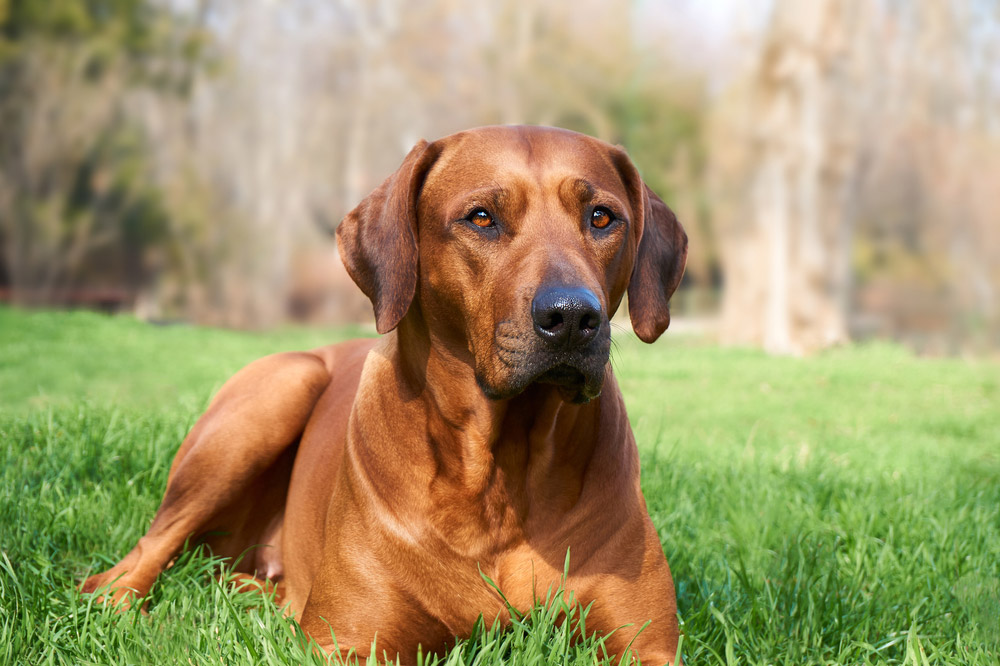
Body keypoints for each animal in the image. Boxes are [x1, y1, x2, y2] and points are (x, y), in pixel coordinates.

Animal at [84, 126, 688, 664]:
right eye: (482, 217)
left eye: (601, 217)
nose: (572, 317)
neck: (503, 468)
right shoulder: (347, 642)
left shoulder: (648, 648)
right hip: (279, 390)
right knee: (132, 562)